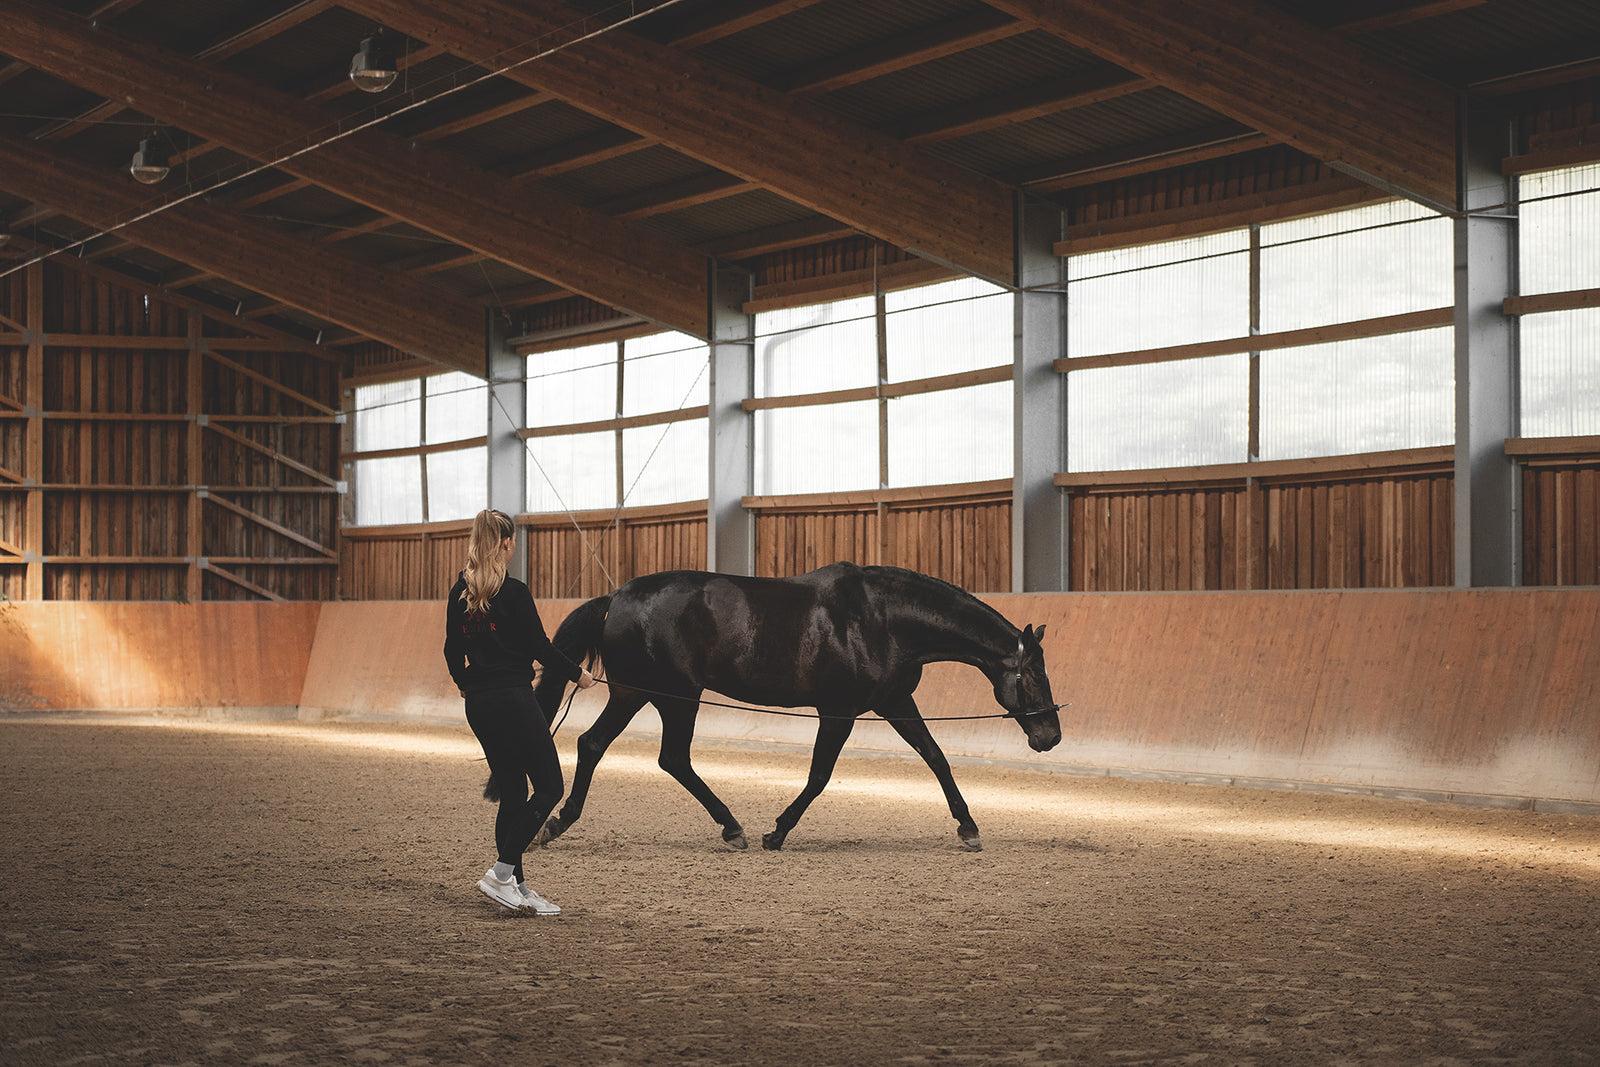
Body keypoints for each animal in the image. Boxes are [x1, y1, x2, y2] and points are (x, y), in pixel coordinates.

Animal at [519, 561, 1063, 852]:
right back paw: (733, 828)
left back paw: (557, 823)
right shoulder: (839, 711)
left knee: (594, 745)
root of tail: (616, 597)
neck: (881, 620)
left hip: (637, 694)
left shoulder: (893, 701)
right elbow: (819, 775)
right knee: (669, 757)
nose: (1051, 736)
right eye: (1036, 674)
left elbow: (935, 757)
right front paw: (776, 832)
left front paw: (968, 828)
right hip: (674, 697)